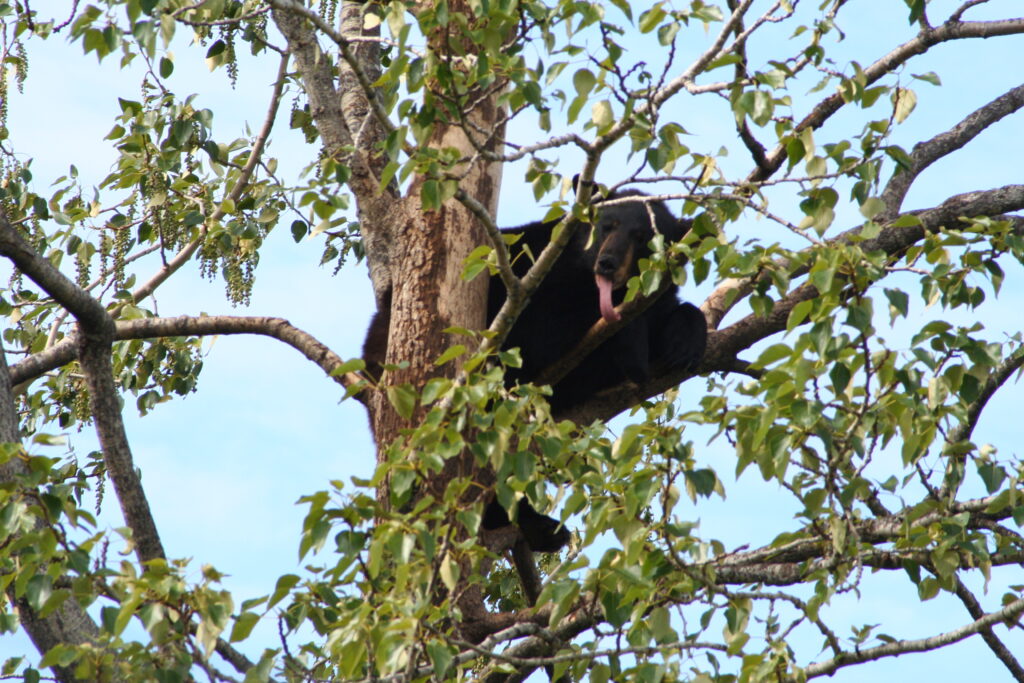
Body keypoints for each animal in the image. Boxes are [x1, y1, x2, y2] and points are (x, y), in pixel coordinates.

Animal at [364, 184, 708, 552]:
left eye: (643, 237)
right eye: (606, 226)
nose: (608, 263)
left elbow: (667, 315)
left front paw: (685, 340)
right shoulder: (532, 281)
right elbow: (550, 335)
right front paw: (631, 345)